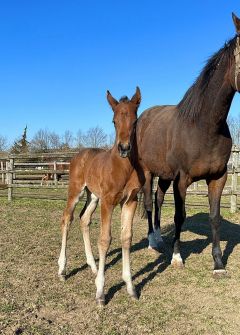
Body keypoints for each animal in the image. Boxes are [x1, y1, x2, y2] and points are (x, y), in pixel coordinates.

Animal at [57, 87, 144, 308]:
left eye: (135, 121)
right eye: (113, 121)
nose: (124, 148)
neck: (123, 168)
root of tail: (78, 155)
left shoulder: (130, 201)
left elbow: (126, 237)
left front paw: (130, 287)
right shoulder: (108, 201)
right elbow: (105, 240)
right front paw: (100, 293)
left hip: (93, 196)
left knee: (84, 219)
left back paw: (93, 266)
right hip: (76, 191)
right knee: (67, 219)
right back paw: (62, 269)